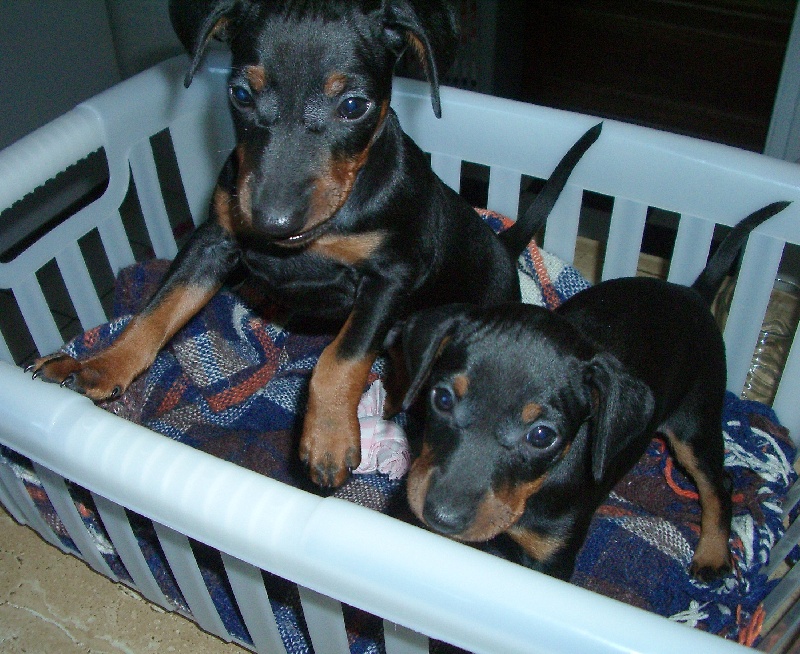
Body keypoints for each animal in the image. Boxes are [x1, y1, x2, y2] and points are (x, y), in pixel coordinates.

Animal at [29, 0, 600, 487]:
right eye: (240, 94)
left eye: (353, 105)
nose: (272, 222)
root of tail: (505, 246)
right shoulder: (215, 239)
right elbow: (159, 307)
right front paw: (103, 364)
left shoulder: (389, 276)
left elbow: (340, 356)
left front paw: (328, 438)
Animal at [398, 200, 790, 581]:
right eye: (442, 398)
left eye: (542, 435)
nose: (443, 517)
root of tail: (692, 293)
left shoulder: (550, 558)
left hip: (695, 423)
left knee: (719, 484)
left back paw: (713, 554)